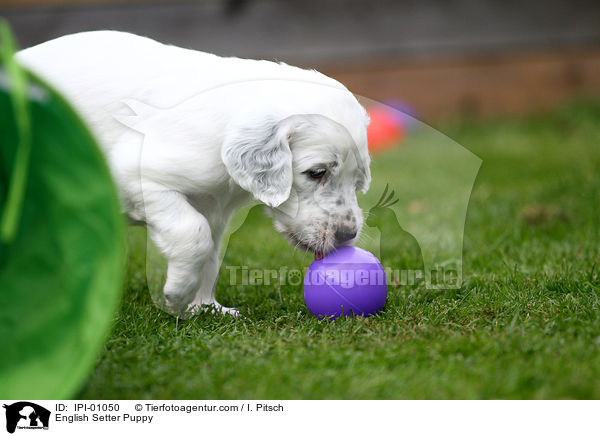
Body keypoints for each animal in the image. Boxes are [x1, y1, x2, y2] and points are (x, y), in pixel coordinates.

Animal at [17, 31, 370, 316]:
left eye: (357, 181)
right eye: (316, 172)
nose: (347, 235)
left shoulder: (215, 209)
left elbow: (211, 255)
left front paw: (206, 308)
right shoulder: (134, 176)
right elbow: (193, 234)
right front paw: (177, 294)